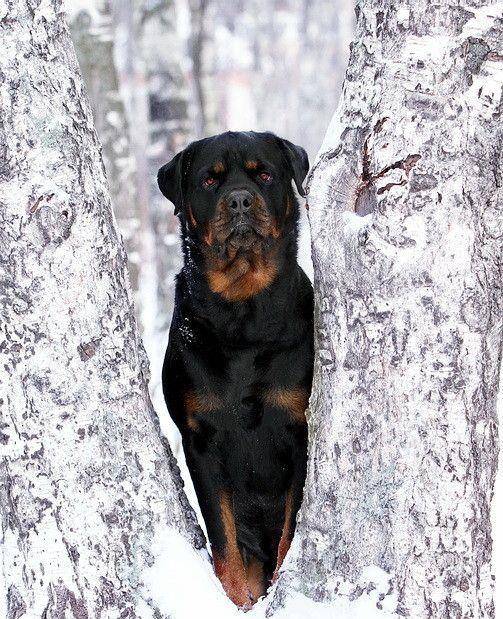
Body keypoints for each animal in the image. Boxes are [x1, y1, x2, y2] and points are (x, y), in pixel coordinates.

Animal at [159, 131, 314, 612]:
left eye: (263, 174)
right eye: (210, 181)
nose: (241, 200)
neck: (244, 316)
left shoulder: (297, 429)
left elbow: (289, 530)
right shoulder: (201, 440)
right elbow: (223, 539)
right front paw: (236, 602)